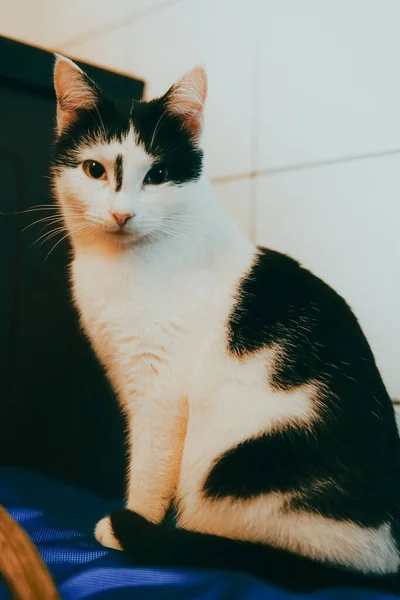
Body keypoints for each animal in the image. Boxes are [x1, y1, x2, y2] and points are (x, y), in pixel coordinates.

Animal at [51, 55, 400, 592]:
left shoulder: (162, 391)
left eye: (158, 174)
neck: (120, 264)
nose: (121, 213)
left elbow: (151, 466)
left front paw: (134, 523)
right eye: (95, 169)